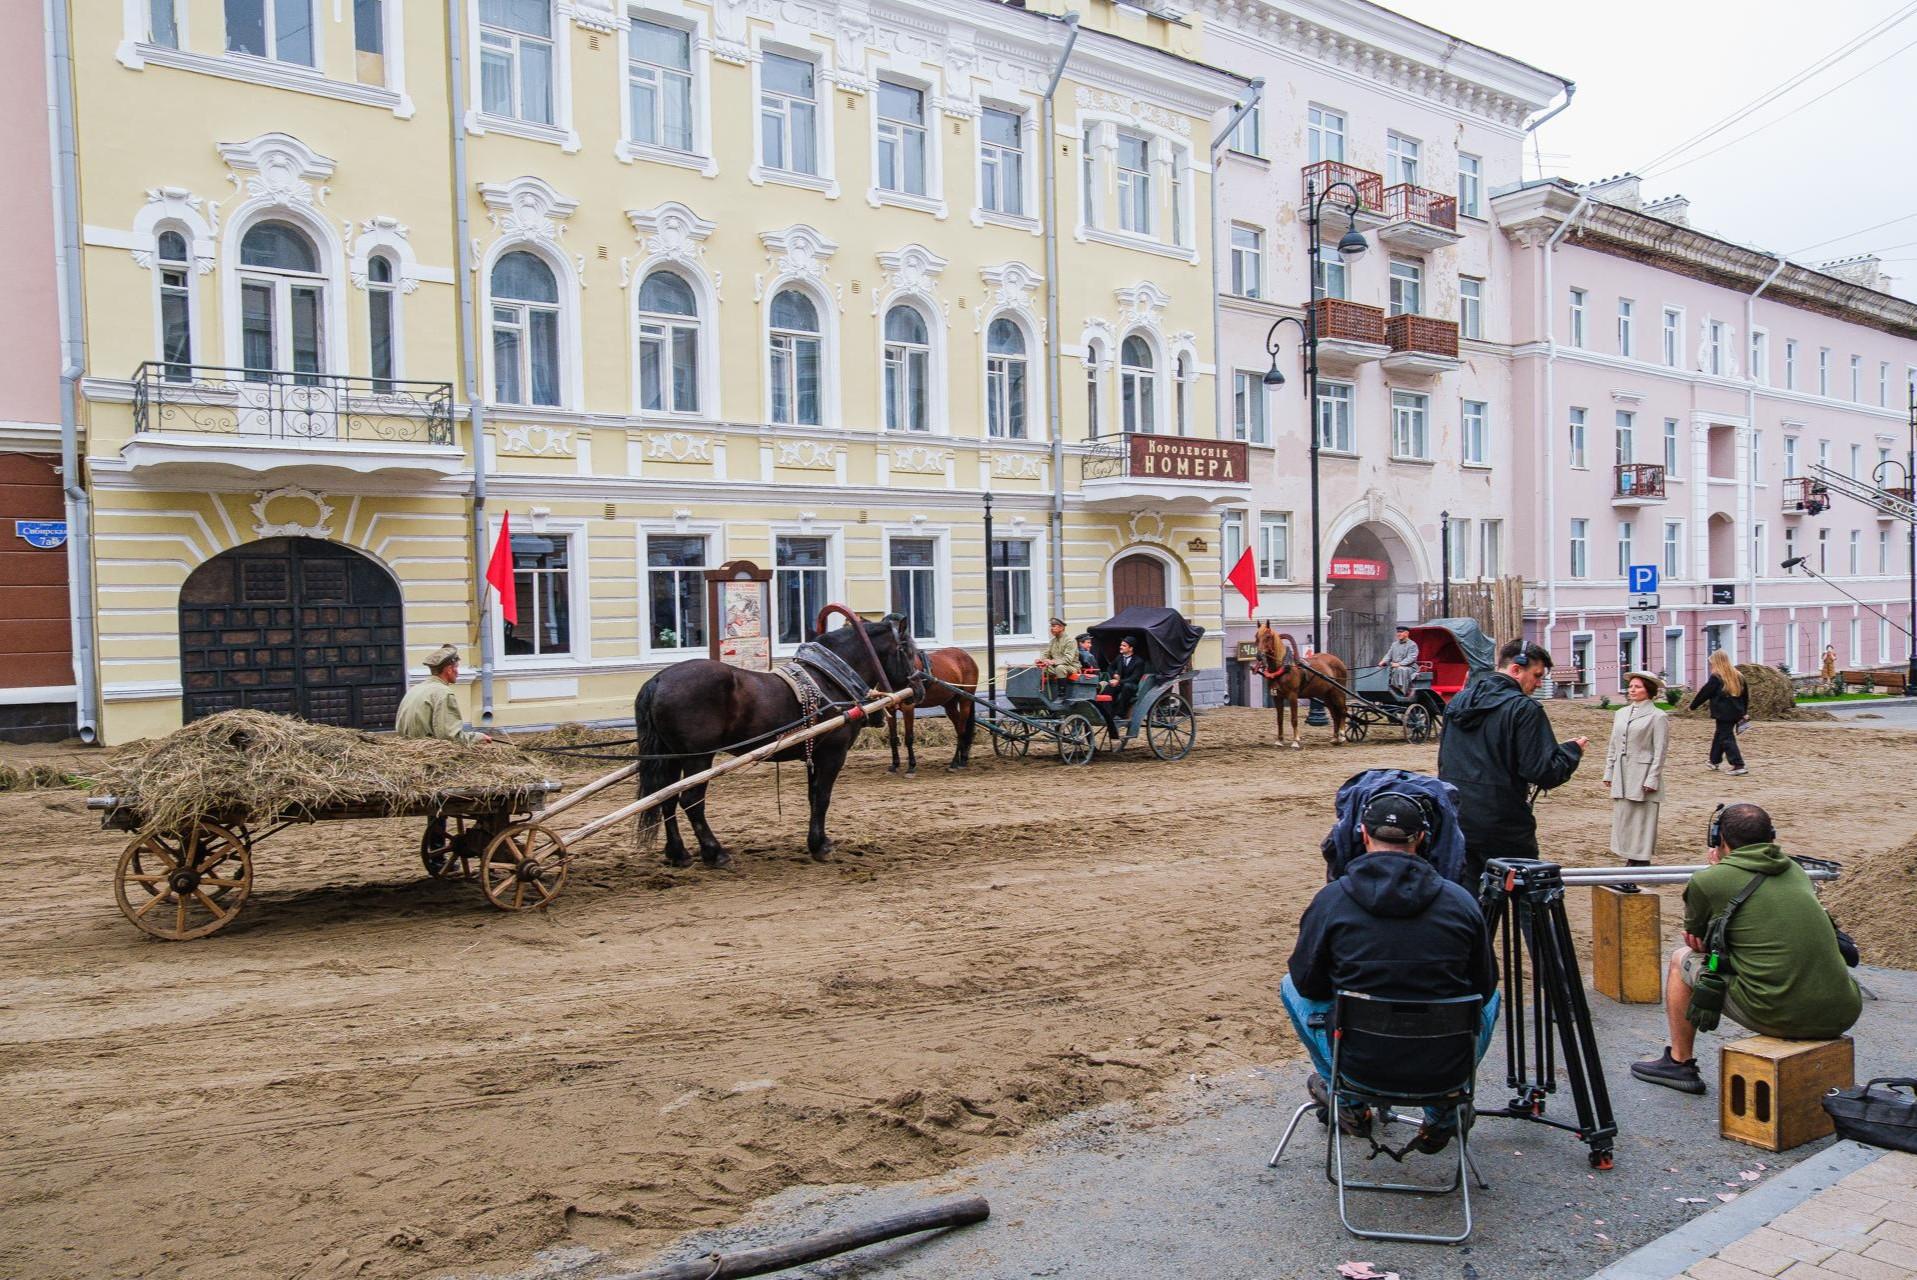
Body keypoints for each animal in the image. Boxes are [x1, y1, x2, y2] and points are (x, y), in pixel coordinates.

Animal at [636, 613, 920, 869]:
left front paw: (818, 841)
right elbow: (823, 796)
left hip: (670, 756)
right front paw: (820, 846)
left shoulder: (814, 754)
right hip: (699, 758)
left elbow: (813, 796)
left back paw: (678, 853)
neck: (829, 679)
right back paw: (715, 853)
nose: (920, 687)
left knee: (665, 798)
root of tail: (658, 680)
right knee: (690, 801)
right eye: (907, 649)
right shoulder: (833, 754)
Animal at [881, 643, 973, 774]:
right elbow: (893, 738)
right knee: (959, 728)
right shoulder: (890, 709)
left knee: (961, 731)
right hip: (950, 704)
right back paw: (962, 759)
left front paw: (911, 766)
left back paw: (955, 762)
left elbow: (909, 738)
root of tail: (966, 656)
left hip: (965, 701)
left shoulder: (908, 708)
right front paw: (894, 765)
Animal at [1249, 620, 1357, 751]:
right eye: (1256, 636)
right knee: (1335, 714)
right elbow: (1279, 719)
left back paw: (1341, 735)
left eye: (1268, 636)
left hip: (1338, 691)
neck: (1283, 667)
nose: (1259, 656)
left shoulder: (1292, 696)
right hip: (1326, 695)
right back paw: (1335, 738)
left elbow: (1294, 719)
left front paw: (1296, 741)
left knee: (1343, 710)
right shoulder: (1277, 697)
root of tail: (1338, 660)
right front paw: (1279, 740)